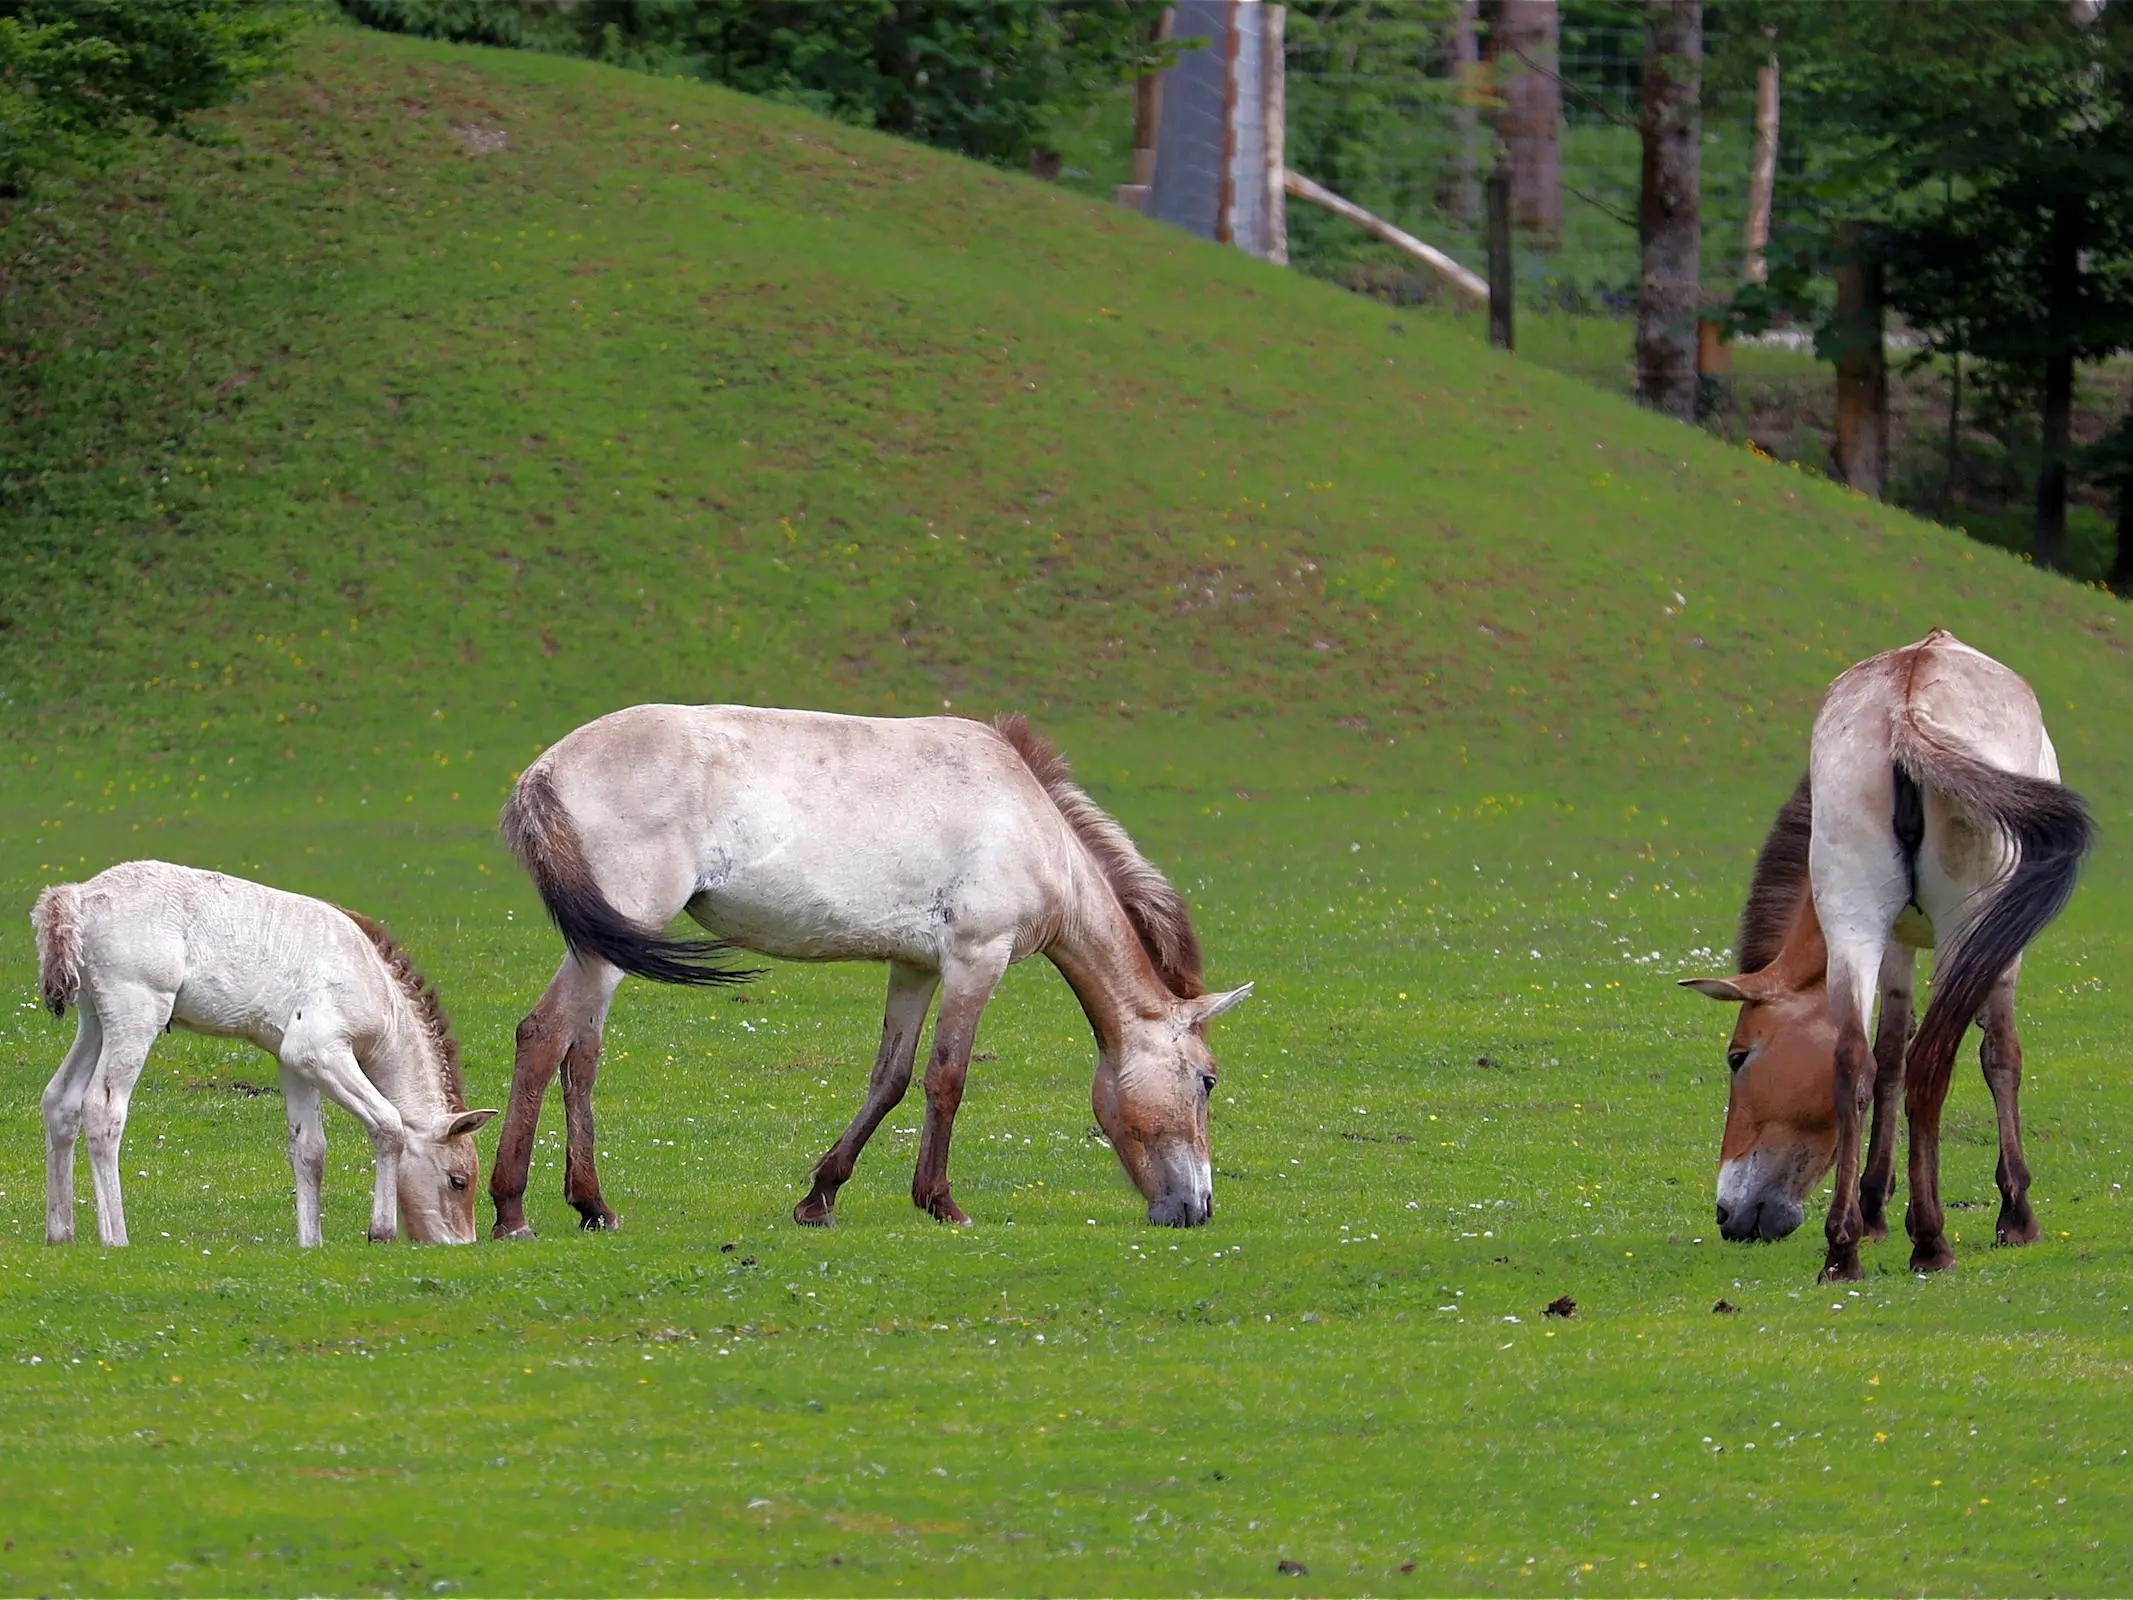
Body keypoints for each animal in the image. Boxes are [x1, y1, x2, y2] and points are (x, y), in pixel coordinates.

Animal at [31, 866, 496, 1254]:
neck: (379, 990)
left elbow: (310, 1148)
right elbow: (388, 1124)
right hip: (136, 1012)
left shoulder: (292, 1061)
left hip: (94, 1019)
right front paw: (379, 1231)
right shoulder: (317, 1050)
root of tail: (77, 898)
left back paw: (60, 1232)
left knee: (60, 1099)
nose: (459, 1243)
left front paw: (311, 1241)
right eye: (458, 1181)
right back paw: (115, 1236)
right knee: (102, 1108)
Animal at [1680, 631, 2081, 1288]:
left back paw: (1842, 1249)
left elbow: (1887, 1056)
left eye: (1738, 1058)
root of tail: (1905, 704)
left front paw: (1872, 1207)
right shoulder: (1998, 949)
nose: (1726, 1214)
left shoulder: (1891, 943)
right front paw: (2015, 1211)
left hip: (1855, 921)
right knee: (1933, 1065)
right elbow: (1999, 1055)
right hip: (1961, 928)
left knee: (1853, 1062)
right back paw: (1932, 1240)